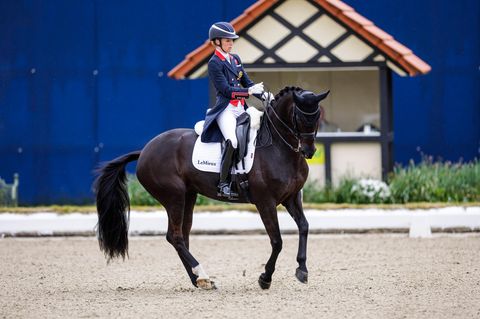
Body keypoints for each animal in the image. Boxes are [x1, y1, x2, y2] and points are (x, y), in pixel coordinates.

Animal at [96, 86, 332, 292]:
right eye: (300, 117)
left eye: (317, 116)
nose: (309, 151)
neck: (278, 146)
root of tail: (145, 150)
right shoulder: (265, 202)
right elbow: (277, 241)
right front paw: (265, 278)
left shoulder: (291, 197)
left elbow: (304, 227)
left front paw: (302, 270)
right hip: (174, 197)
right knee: (175, 236)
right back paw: (202, 275)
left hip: (189, 196)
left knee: (183, 235)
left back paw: (200, 280)